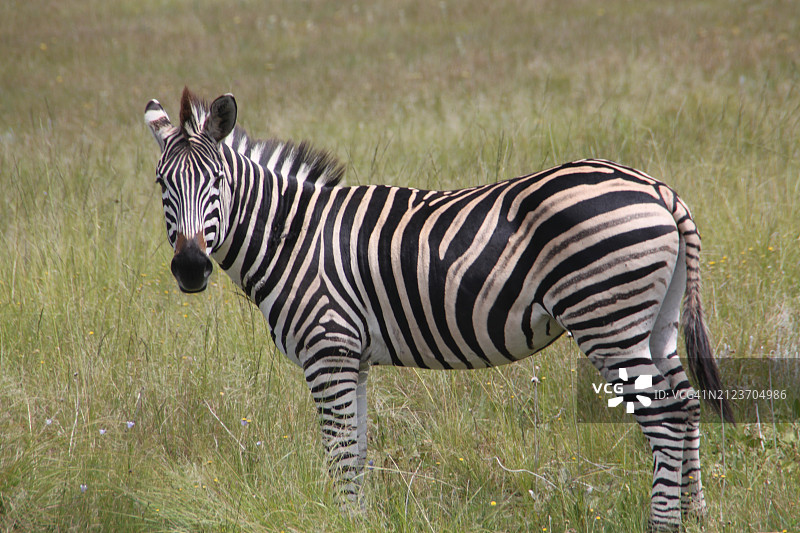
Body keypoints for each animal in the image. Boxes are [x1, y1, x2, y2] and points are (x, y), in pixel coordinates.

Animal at [142, 89, 732, 528]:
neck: (294, 236)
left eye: (217, 183)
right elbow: (356, 447)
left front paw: (345, 520)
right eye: (162, 184)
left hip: (607, 319)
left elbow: (340, 450)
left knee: (664, 414)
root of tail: (659, 190)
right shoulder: (352, 357)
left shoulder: (328, 349)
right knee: (686, 403)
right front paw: (361, 520)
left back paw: (663, 524)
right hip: (657, 321)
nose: (190, 268)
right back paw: (697, 515)